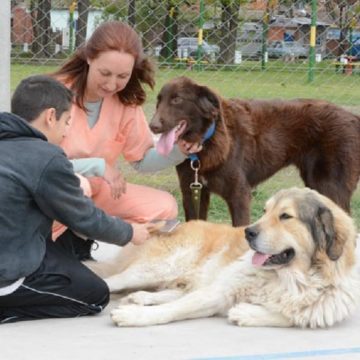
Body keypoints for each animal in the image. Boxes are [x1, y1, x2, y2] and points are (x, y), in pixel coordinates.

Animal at [87, 188, 360, 330]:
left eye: (285, 216)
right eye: (265, 211)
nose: (248, 232)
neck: (292, 276)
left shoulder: (319, 309)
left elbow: (291, 316)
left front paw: (246, 313)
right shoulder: (220, 291)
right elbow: (177, 309)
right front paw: (135, 317)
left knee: (175, 291)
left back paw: (142, 298)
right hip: (155, 268)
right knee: (112, 282)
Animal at [148, 77, 360, 226]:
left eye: (177, 99)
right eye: (158, 101)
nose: (152, 126)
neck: (207, 140)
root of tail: (353, 117)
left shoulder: (239, 195)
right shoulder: (192, 191)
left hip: (330, 187)